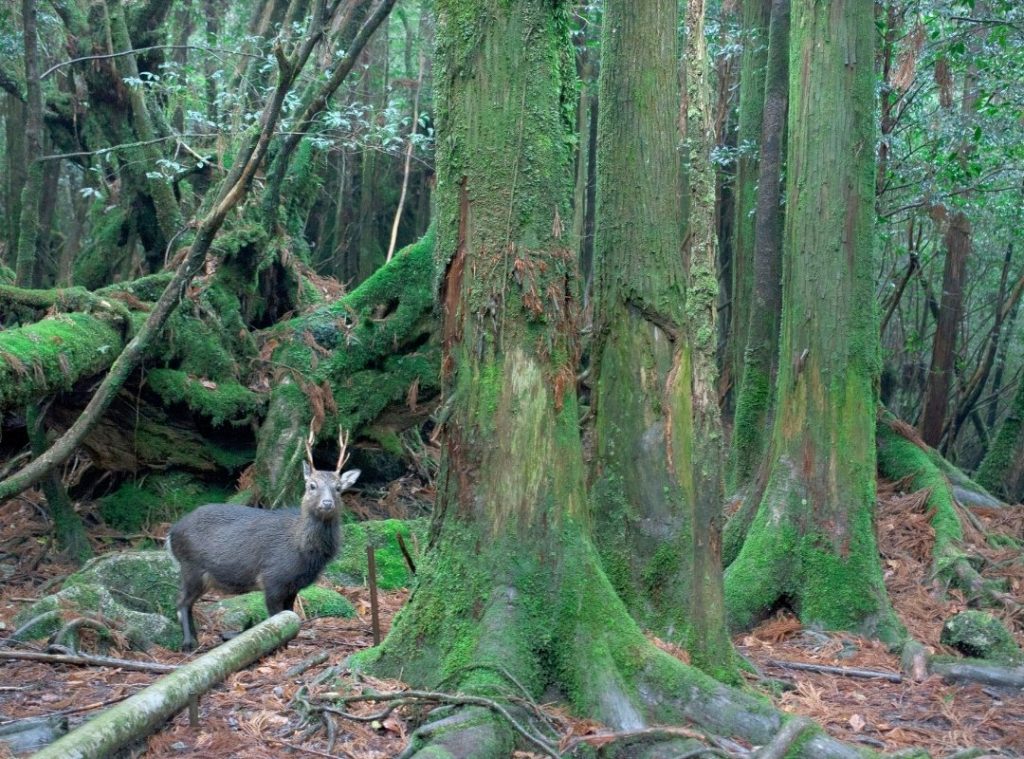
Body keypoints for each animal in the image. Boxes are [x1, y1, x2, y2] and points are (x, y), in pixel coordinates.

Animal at [166, 429, 360, 651]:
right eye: (312, 485)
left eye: (338, 487)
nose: (327, 503)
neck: (303, 551)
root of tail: (171, 533)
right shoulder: (272, 577)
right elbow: (275, 617)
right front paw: (279, 647)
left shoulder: (293, 585)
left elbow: (291, 615)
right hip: (191, 566)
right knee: (181, 601)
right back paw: (188, 643)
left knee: (186, 602)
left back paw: (197, 640)